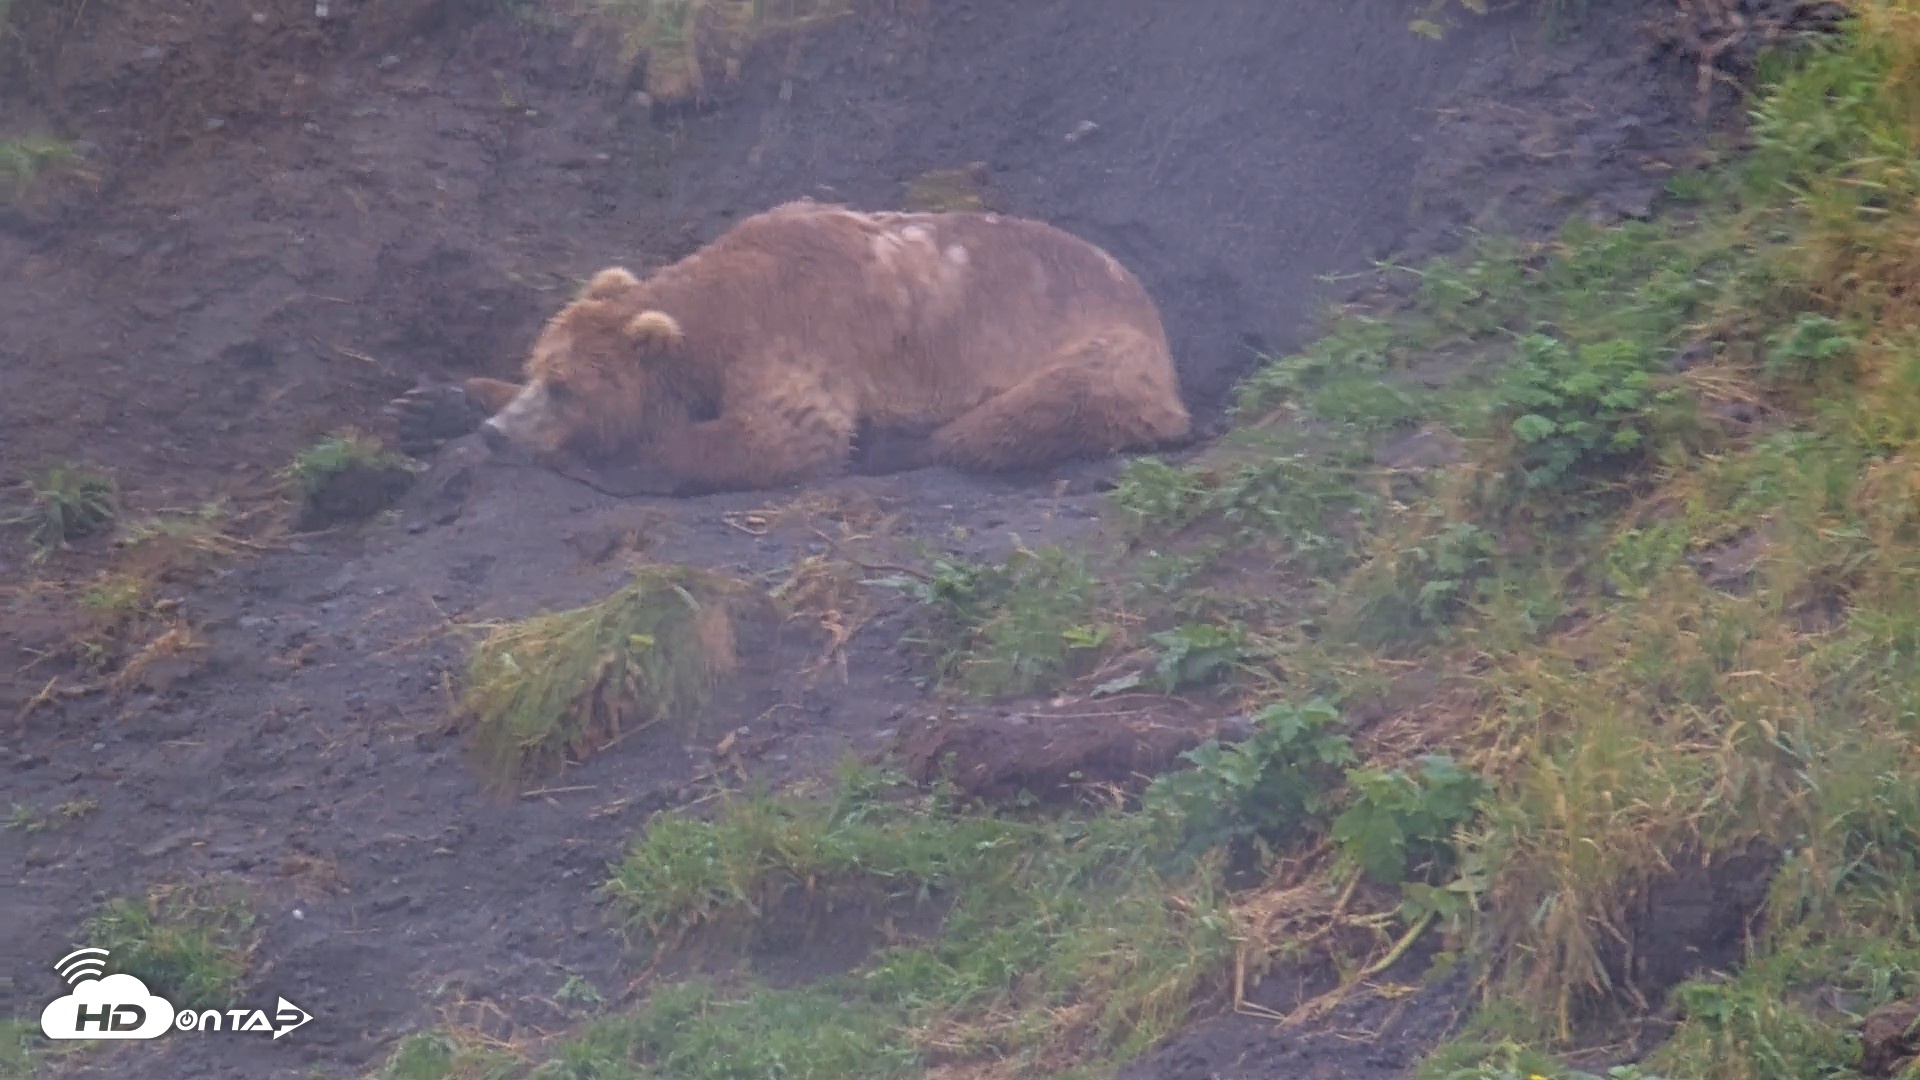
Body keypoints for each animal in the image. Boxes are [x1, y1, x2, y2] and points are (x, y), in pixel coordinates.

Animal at [387, 199, 1193, 496]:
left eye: (567, 388)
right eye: (537, 370)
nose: (500, 435)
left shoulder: (800, 330)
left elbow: (786, 433)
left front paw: (610, 456)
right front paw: (432, 402)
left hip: (1095, 344)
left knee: (1033, 408)